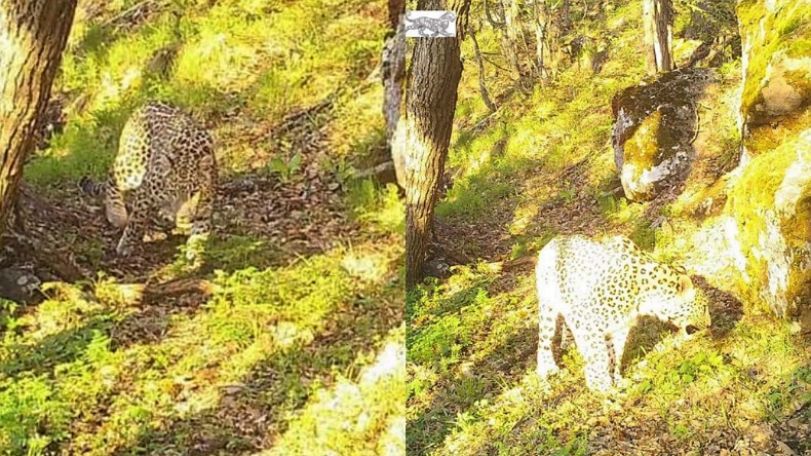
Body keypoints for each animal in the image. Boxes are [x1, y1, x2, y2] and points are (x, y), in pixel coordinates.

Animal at [79, 102, 217, 262]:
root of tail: (144, 105)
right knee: (112, 175)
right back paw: (116, 213)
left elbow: (202, 227)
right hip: (133, 167)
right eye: (173, 191)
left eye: (194, 192)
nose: (183, 217)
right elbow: (136, 222)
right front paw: (126, 245)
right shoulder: (145, 191)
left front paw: (195, 251)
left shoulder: (206, 203)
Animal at [535, 234, 710, 393]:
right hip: (547, 308)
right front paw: (602, 388)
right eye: (704, 307)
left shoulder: (619, 327)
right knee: (543, 343)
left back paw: (567, 343)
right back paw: (546, 373)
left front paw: (617, 380)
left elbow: (615, 354)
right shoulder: (587, 325)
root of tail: (553, 240)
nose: (709, 325)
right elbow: (598, 358)